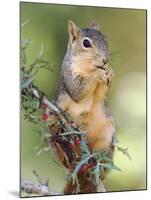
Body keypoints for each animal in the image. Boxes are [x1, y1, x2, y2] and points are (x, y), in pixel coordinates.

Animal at [56, 20, 115, 194]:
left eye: (105, 39)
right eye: (86, 43)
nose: (105, 60)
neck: (88, 67)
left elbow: (101, 94)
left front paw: (110, 71)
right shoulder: (68, 74)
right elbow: (78, 91)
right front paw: (98, 74)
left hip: (106, 135)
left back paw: (99, 168)